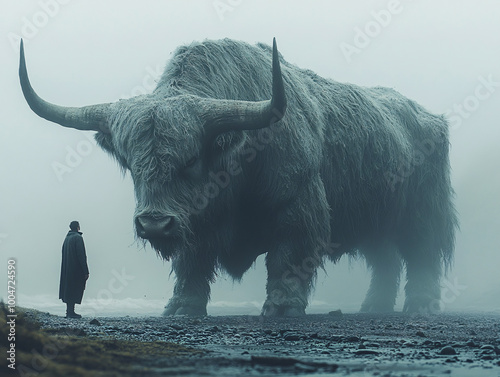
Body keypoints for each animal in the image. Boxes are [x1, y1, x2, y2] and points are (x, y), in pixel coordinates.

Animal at [19, 38, 458, 314]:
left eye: (191, 160)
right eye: (131, 164)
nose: (154, 224)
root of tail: (431, 118)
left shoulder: (297, 206)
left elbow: (287, 257)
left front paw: (281, 307)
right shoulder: (195, 223)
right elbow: (192, 261)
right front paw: (181, 307)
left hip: (424, 214)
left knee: (421, 255)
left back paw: (420, 305)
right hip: (375, 222)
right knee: (385, 261)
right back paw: (373, 307)